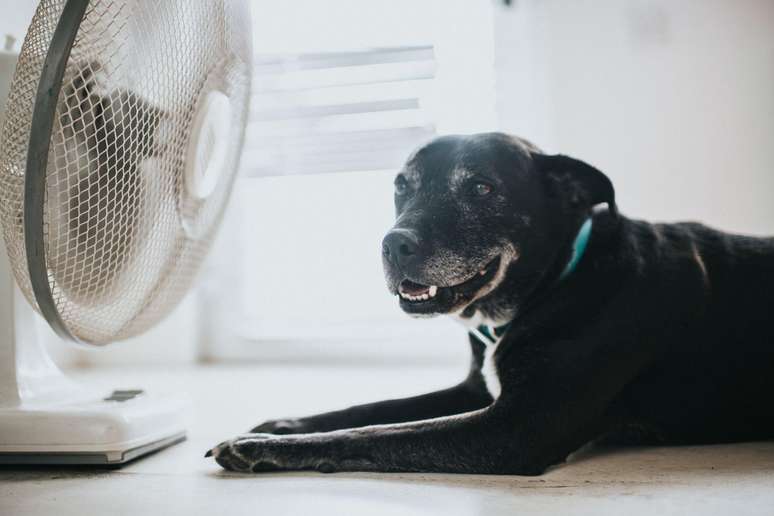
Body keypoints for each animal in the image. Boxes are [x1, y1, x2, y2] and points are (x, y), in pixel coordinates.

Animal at [208, 132, 774, 472]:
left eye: (481, 188)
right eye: (401, 186)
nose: (392, 245)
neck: (556, 282)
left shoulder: (515, 428)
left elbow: (374, 433)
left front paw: (259, 448)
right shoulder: (475, 390)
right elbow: (371, 409)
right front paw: (283, 425)